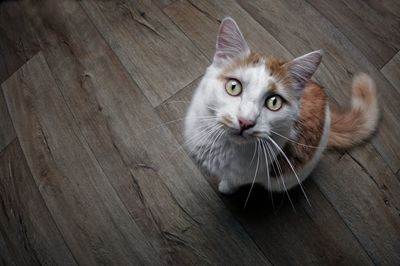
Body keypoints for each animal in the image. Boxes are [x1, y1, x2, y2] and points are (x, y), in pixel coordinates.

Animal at [184, 17, 378, 200]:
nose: (246, 122)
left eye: (274, 102)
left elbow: (233, 181)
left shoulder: (249, 175)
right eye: (234, 87)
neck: (225, 147)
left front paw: (226, 188)